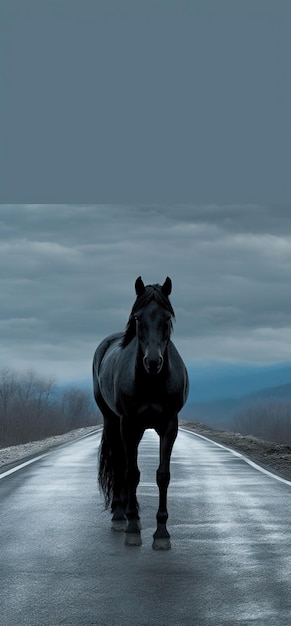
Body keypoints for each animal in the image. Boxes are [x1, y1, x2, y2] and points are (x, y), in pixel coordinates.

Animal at [93, 276, 189, 544]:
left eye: (167, 318)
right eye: (138, 318)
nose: (153, 362)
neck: (151, 383)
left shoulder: (169, 426)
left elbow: (162, 475)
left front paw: (162, 533)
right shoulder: (128, 424)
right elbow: (131, 473)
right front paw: (133, 527)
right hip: (112, 422)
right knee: (119, 463)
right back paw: (119, 514)